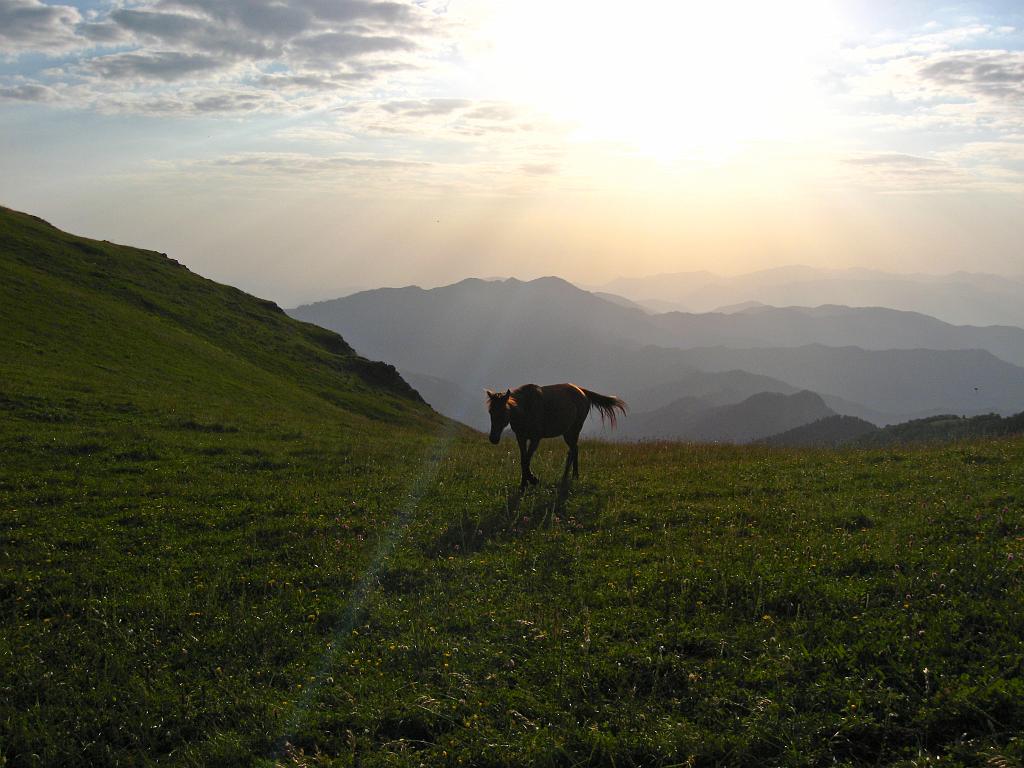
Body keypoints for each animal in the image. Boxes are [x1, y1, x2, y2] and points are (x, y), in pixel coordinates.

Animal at [485, 382, 626, 489]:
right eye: (490, 412)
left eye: (503, 412)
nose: (493, 439)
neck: (526, 408)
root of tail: (582, 391)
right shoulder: (521, 438)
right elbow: (523, 460)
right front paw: (524, 484)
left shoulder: (535, 439)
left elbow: (526, 460)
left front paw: (533, 479)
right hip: (567, 433)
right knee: (574, 450)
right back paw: (571, 476)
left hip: (574, 430)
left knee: (574, 450)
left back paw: (570, 476)